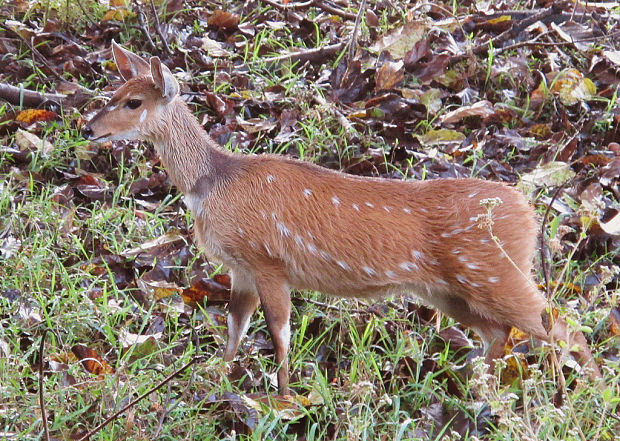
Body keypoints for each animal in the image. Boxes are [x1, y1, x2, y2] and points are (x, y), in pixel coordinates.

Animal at [82, 41, 600, 392]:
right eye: (113, 89)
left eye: (134, 102)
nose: (89, 128)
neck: (215, 183)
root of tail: (529, 216)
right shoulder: (240, 266)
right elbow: (235, 328)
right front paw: (218, 378)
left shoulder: (268, 261)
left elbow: (280, 334)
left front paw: (284, 399)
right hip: (448, 289)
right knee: (503, 332)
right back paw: (481, 391)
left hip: (495, 272)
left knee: (562, 325)